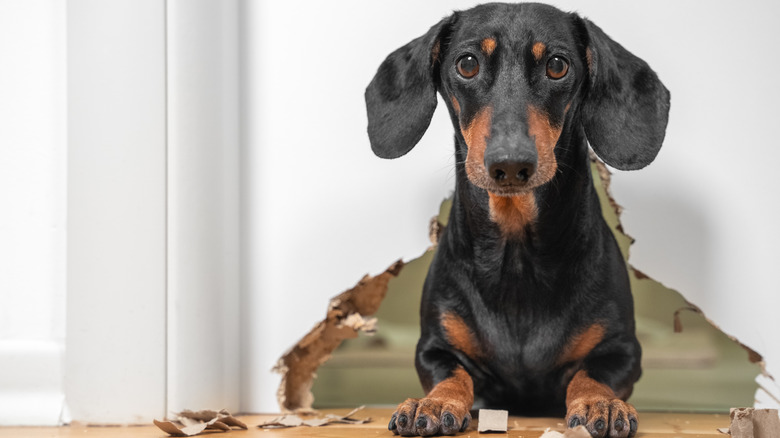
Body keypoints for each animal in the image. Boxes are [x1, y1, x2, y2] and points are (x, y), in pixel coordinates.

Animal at [366, 0, 672, 438]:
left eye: (558, 65)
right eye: (468, 64)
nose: (510, 164)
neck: (517, 257)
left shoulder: (622, 350)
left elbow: (592, 374)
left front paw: (601, 403)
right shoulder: (434, 347)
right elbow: (451, 373)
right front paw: (435, 402)